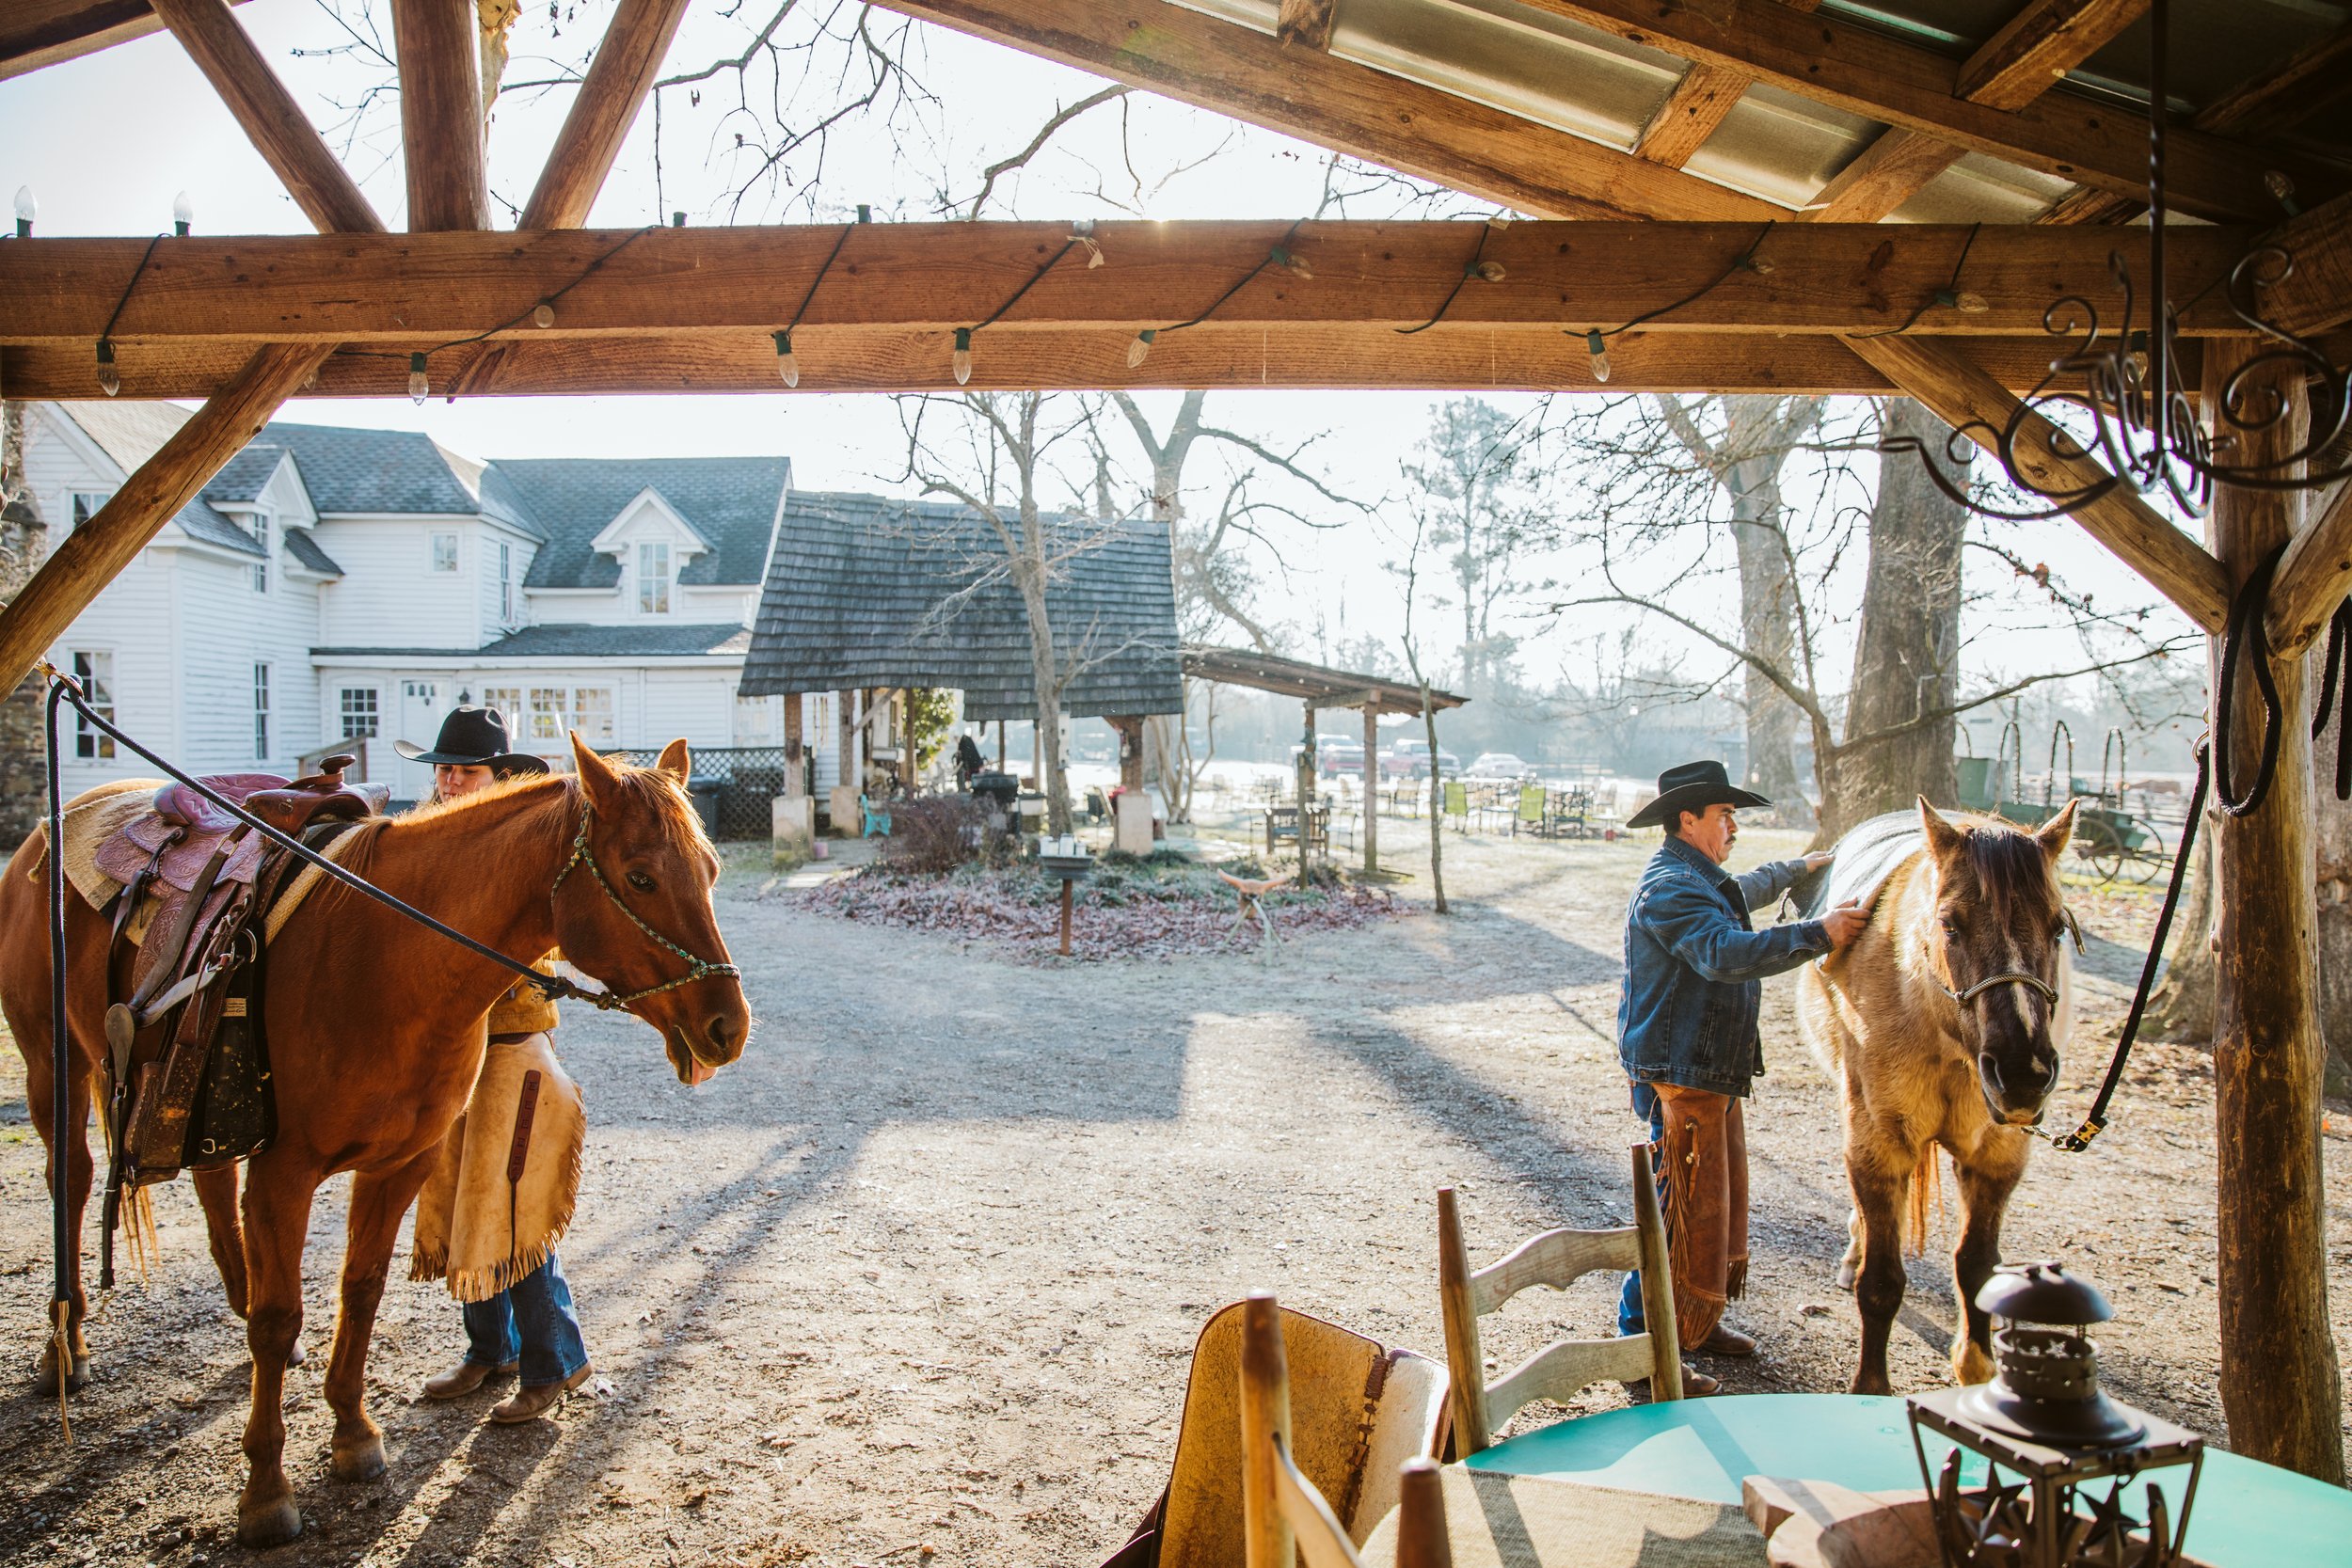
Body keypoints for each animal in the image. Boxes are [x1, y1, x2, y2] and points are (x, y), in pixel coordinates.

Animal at [0, 735, 751, 1547]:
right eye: (640, 875)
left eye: (711, 871)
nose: (728, 1026)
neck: (388, 957)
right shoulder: (284, 1172)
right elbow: (279, 1318)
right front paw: (266, 1489)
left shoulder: (399, 1166)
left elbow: (358, 1292)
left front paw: (353, 1435)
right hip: (51, 1064)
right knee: (72, 1179)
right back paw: (65, 1348)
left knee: (209, 1187)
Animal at [1795, 797, 2078, 1396]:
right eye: (1950, 924)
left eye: (2058, 927)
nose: (2022, 1075)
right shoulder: (1879, 1146)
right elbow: (1881, 1282)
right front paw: (1870, 1390)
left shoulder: (1997, 1158)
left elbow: (1977, 1267)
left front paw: (1976, 1370)